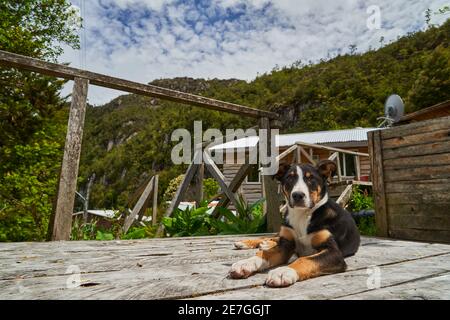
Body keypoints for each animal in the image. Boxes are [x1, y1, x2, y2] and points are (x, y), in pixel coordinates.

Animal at [230, 160, 360, 288]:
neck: (301, 215)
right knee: (270, 237)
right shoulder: (286, 244)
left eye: (311, 178)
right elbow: (266, 253)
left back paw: (266, 244)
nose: (298, 195)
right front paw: (245, 263)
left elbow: (305, 259)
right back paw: (247, 242)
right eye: (289, 178)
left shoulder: (333, 252)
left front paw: (283, 271)